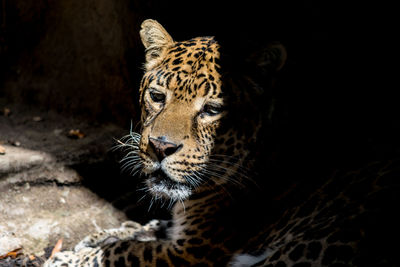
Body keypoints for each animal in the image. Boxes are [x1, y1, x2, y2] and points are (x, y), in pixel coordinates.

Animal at [44, 19, 400, 267]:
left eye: (212, 110)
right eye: (157, 96)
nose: (160, 147)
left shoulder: (191, 253)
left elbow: (124, 252)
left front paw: (69, 257)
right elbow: (149, 227)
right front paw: (99, 236)